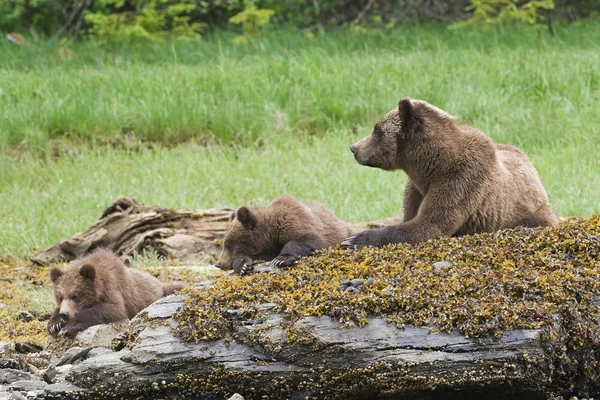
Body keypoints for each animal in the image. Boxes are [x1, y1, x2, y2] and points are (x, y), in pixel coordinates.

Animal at [47, 247, 185, 338]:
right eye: (60, 297)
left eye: (75, 296)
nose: (64, 314)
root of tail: (160, 284)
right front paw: (55, 324)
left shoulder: (112, 286)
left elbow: (113, 309)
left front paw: (67, 328)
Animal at [216, 196, 354, 276]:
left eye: (228, 245)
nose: (218, 264)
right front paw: (243, 265)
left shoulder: (296, 221)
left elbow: (309, 240)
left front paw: (281, 259)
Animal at [342, 97, 556, 248]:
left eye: (376, 130)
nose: (354, 148)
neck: (429, 167)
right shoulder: (416, 188)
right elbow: (412, 215)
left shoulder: (461, 179)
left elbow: (430, 223)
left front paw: (356, 239)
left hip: (528, 210)